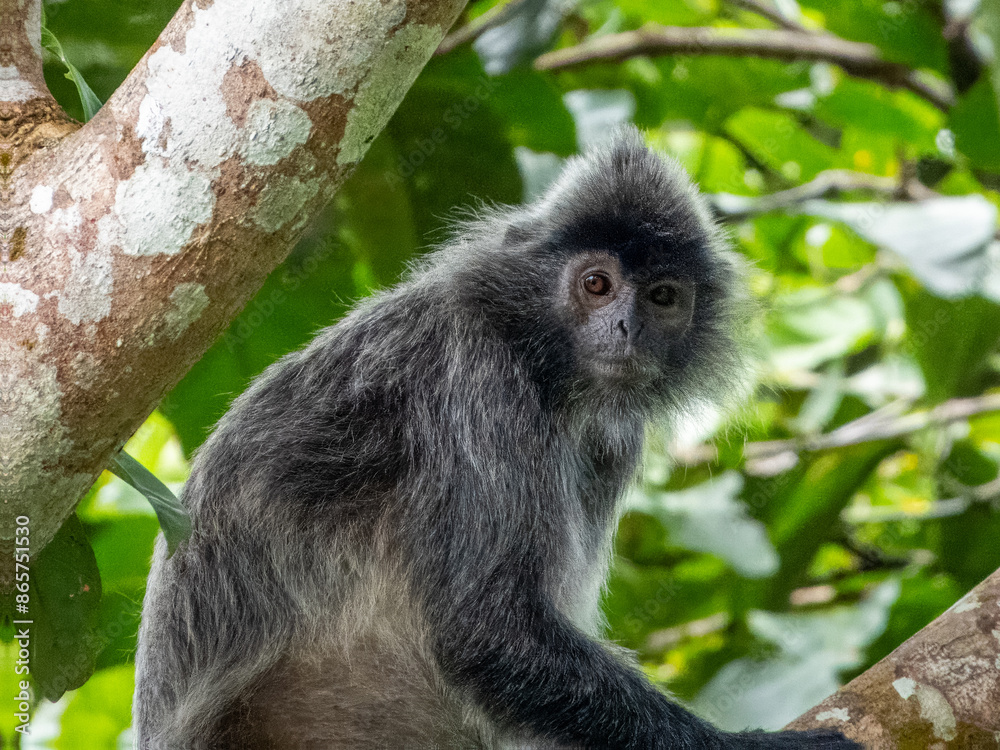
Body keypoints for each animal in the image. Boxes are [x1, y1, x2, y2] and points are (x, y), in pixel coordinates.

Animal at [133, 127, 861, 749]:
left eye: (662, 296)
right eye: (596, 285)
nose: (626, 328)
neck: (544, 363)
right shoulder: (478, 380)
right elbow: (487, 631)